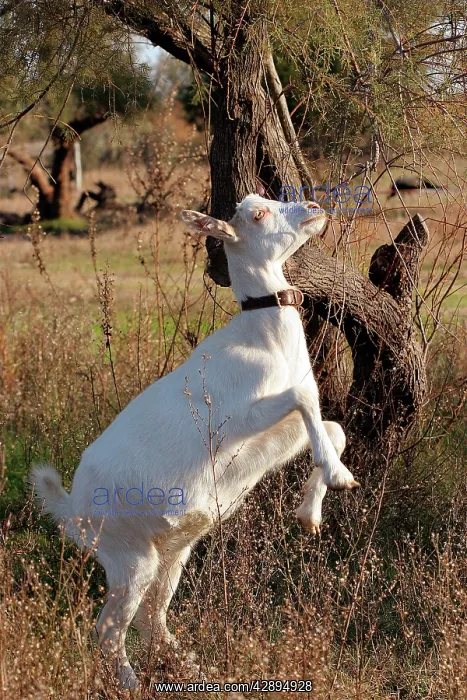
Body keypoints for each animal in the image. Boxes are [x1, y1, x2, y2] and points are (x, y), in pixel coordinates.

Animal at [31, 194, 359, 689]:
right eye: (257, 214)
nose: (314, 206)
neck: (265, 341)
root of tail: (72, 511)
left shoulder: (277, 431)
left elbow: (332, 427)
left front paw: (312, 511)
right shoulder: (235, 420)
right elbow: (306, 400)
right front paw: (338, 479)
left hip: (170, 554)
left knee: (151, 616)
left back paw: (192, 667)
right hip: (129, 558)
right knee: (110, 627)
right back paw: (131, 684)